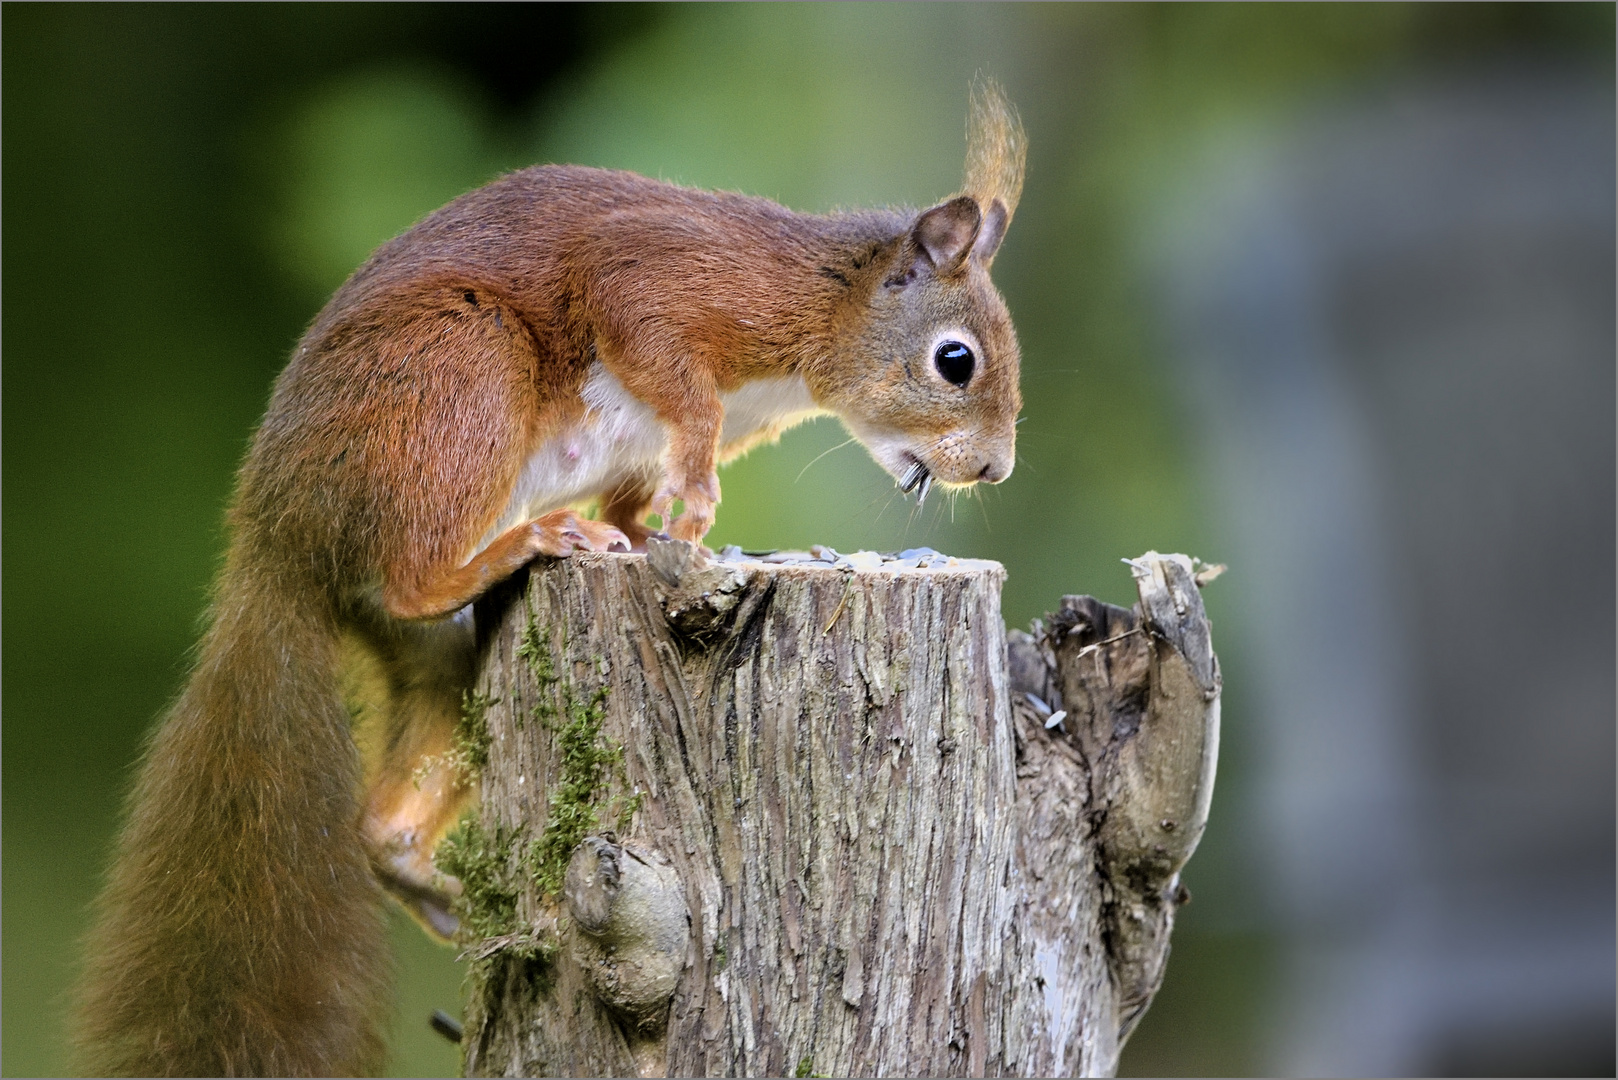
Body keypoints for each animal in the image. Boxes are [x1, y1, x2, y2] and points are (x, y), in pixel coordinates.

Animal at [72, 82, 1022, 1075]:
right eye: (956, 360)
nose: (994, 469)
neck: (826, 301)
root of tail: (283, 537)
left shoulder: (644, 447)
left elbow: (634, 511)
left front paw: (679, 541)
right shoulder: (665, 281)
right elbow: (666, 371)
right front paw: (696, 497)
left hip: (437, 656)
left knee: (388, 804)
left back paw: (442, 886)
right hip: (460, 373)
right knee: (414, 572)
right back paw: (529, 541)